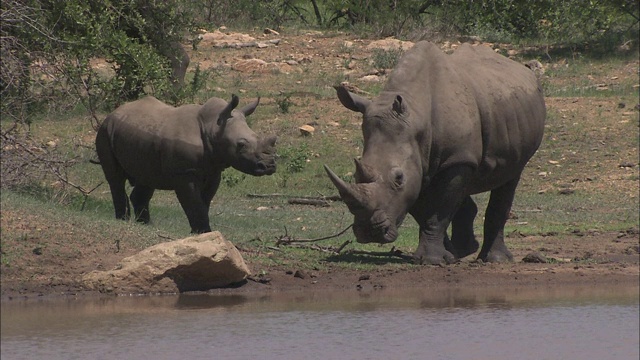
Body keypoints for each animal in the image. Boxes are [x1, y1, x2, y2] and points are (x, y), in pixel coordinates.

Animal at [96, 94, 276, 233]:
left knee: (147, 177)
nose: (269, 166)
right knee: (116, 178)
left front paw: (200, 232)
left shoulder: (213, 171)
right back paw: (123, 221)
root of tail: (113, 113)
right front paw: (204, 232)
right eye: (241, 145)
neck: (213, 127)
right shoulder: (185, 173)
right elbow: (194, 203)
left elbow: (204, 202)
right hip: (105, 131)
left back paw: (146, 225)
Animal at [324, 41, 544, 264]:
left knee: (509, 178)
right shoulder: (420, 163)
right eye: (355, 175)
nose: (369, 232)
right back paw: (464, 250)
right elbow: (424, 208)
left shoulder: (455, 159)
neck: (416, 116)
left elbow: (439, 210)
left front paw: (432, 260)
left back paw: (496, 259)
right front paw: (449, 256)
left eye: (398, 178)